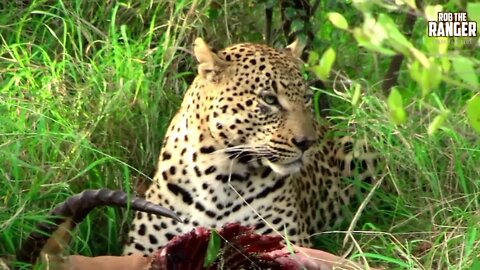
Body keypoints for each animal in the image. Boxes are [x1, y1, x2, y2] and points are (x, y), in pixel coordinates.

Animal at [123, 37, 378, 255]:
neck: (219, 179)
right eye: (269, 99)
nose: (307, 143)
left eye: (306, 98)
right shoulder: (140, 249)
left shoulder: (288, 243)